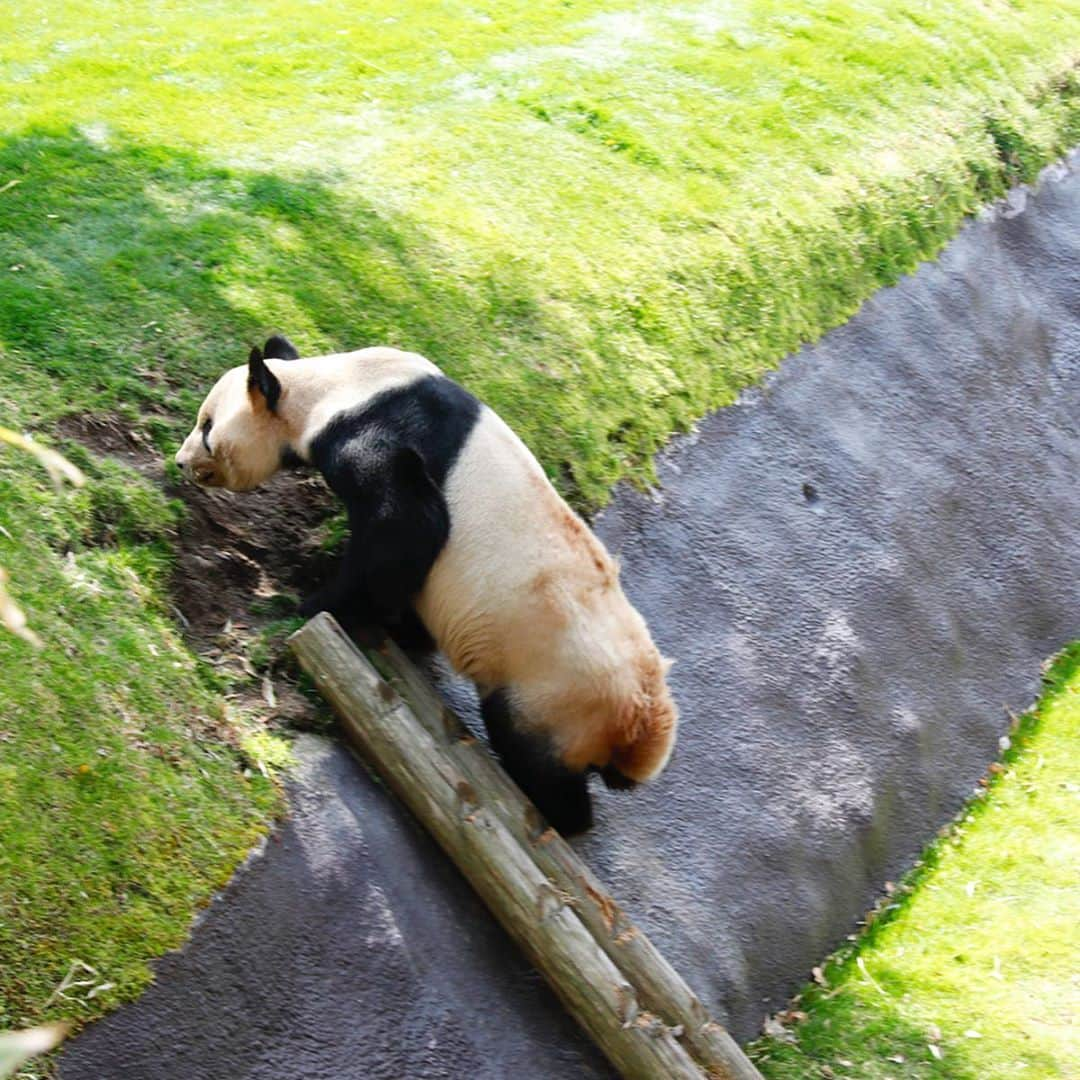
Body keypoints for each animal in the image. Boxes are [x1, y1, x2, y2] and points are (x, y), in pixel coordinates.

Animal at [178, 336, 678, 833]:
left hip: (553, 694)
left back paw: (560, 813)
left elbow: (406, 526)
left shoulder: (375, 435)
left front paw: (310, 604)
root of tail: (640, 720)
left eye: (207, 427)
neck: (331, 388)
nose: (182, 463)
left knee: (534, 756)